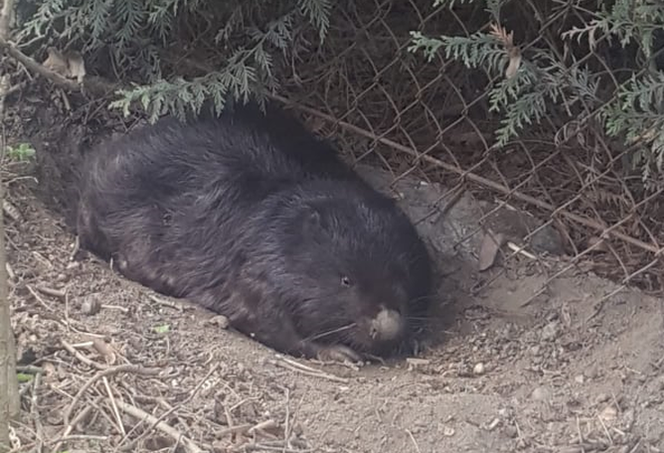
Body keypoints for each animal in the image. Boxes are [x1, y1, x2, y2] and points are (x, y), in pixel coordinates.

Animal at [76, 100, 436, 362]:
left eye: (403, 275)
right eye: (346, 280)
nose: (387, 327)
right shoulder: (256, 267)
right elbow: (264, 319)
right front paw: (340, 353)